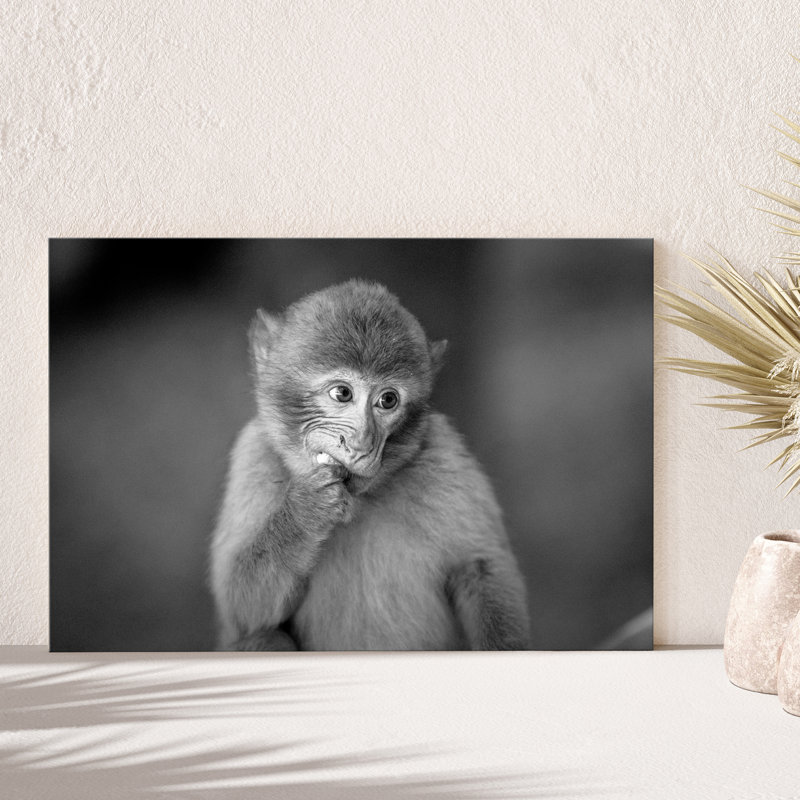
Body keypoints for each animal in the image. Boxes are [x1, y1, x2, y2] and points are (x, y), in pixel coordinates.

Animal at [209, 279, 530, 650]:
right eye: (342, 394)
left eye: (387, 400)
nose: (362, 443)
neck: (360, 500)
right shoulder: (254, 457)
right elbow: (242, 611)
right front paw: (306, 511)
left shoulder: (444, 454)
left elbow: (480, 567)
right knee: (262, 637)